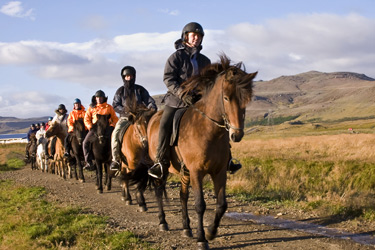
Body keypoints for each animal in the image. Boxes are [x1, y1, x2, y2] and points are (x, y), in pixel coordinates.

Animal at [148, 54, 258, 250]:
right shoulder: (196, 172)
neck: (208, 131)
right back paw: (163, 222)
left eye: (246, 100)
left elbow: (222, 205)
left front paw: (211, 232)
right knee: (159, 191)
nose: (236, 134)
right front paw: (202, 239)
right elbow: (200, 205)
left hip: (184, 172)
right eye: (226, 98)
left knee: (183, 196)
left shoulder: (219, 172)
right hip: (164, 169)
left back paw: (186, 228)